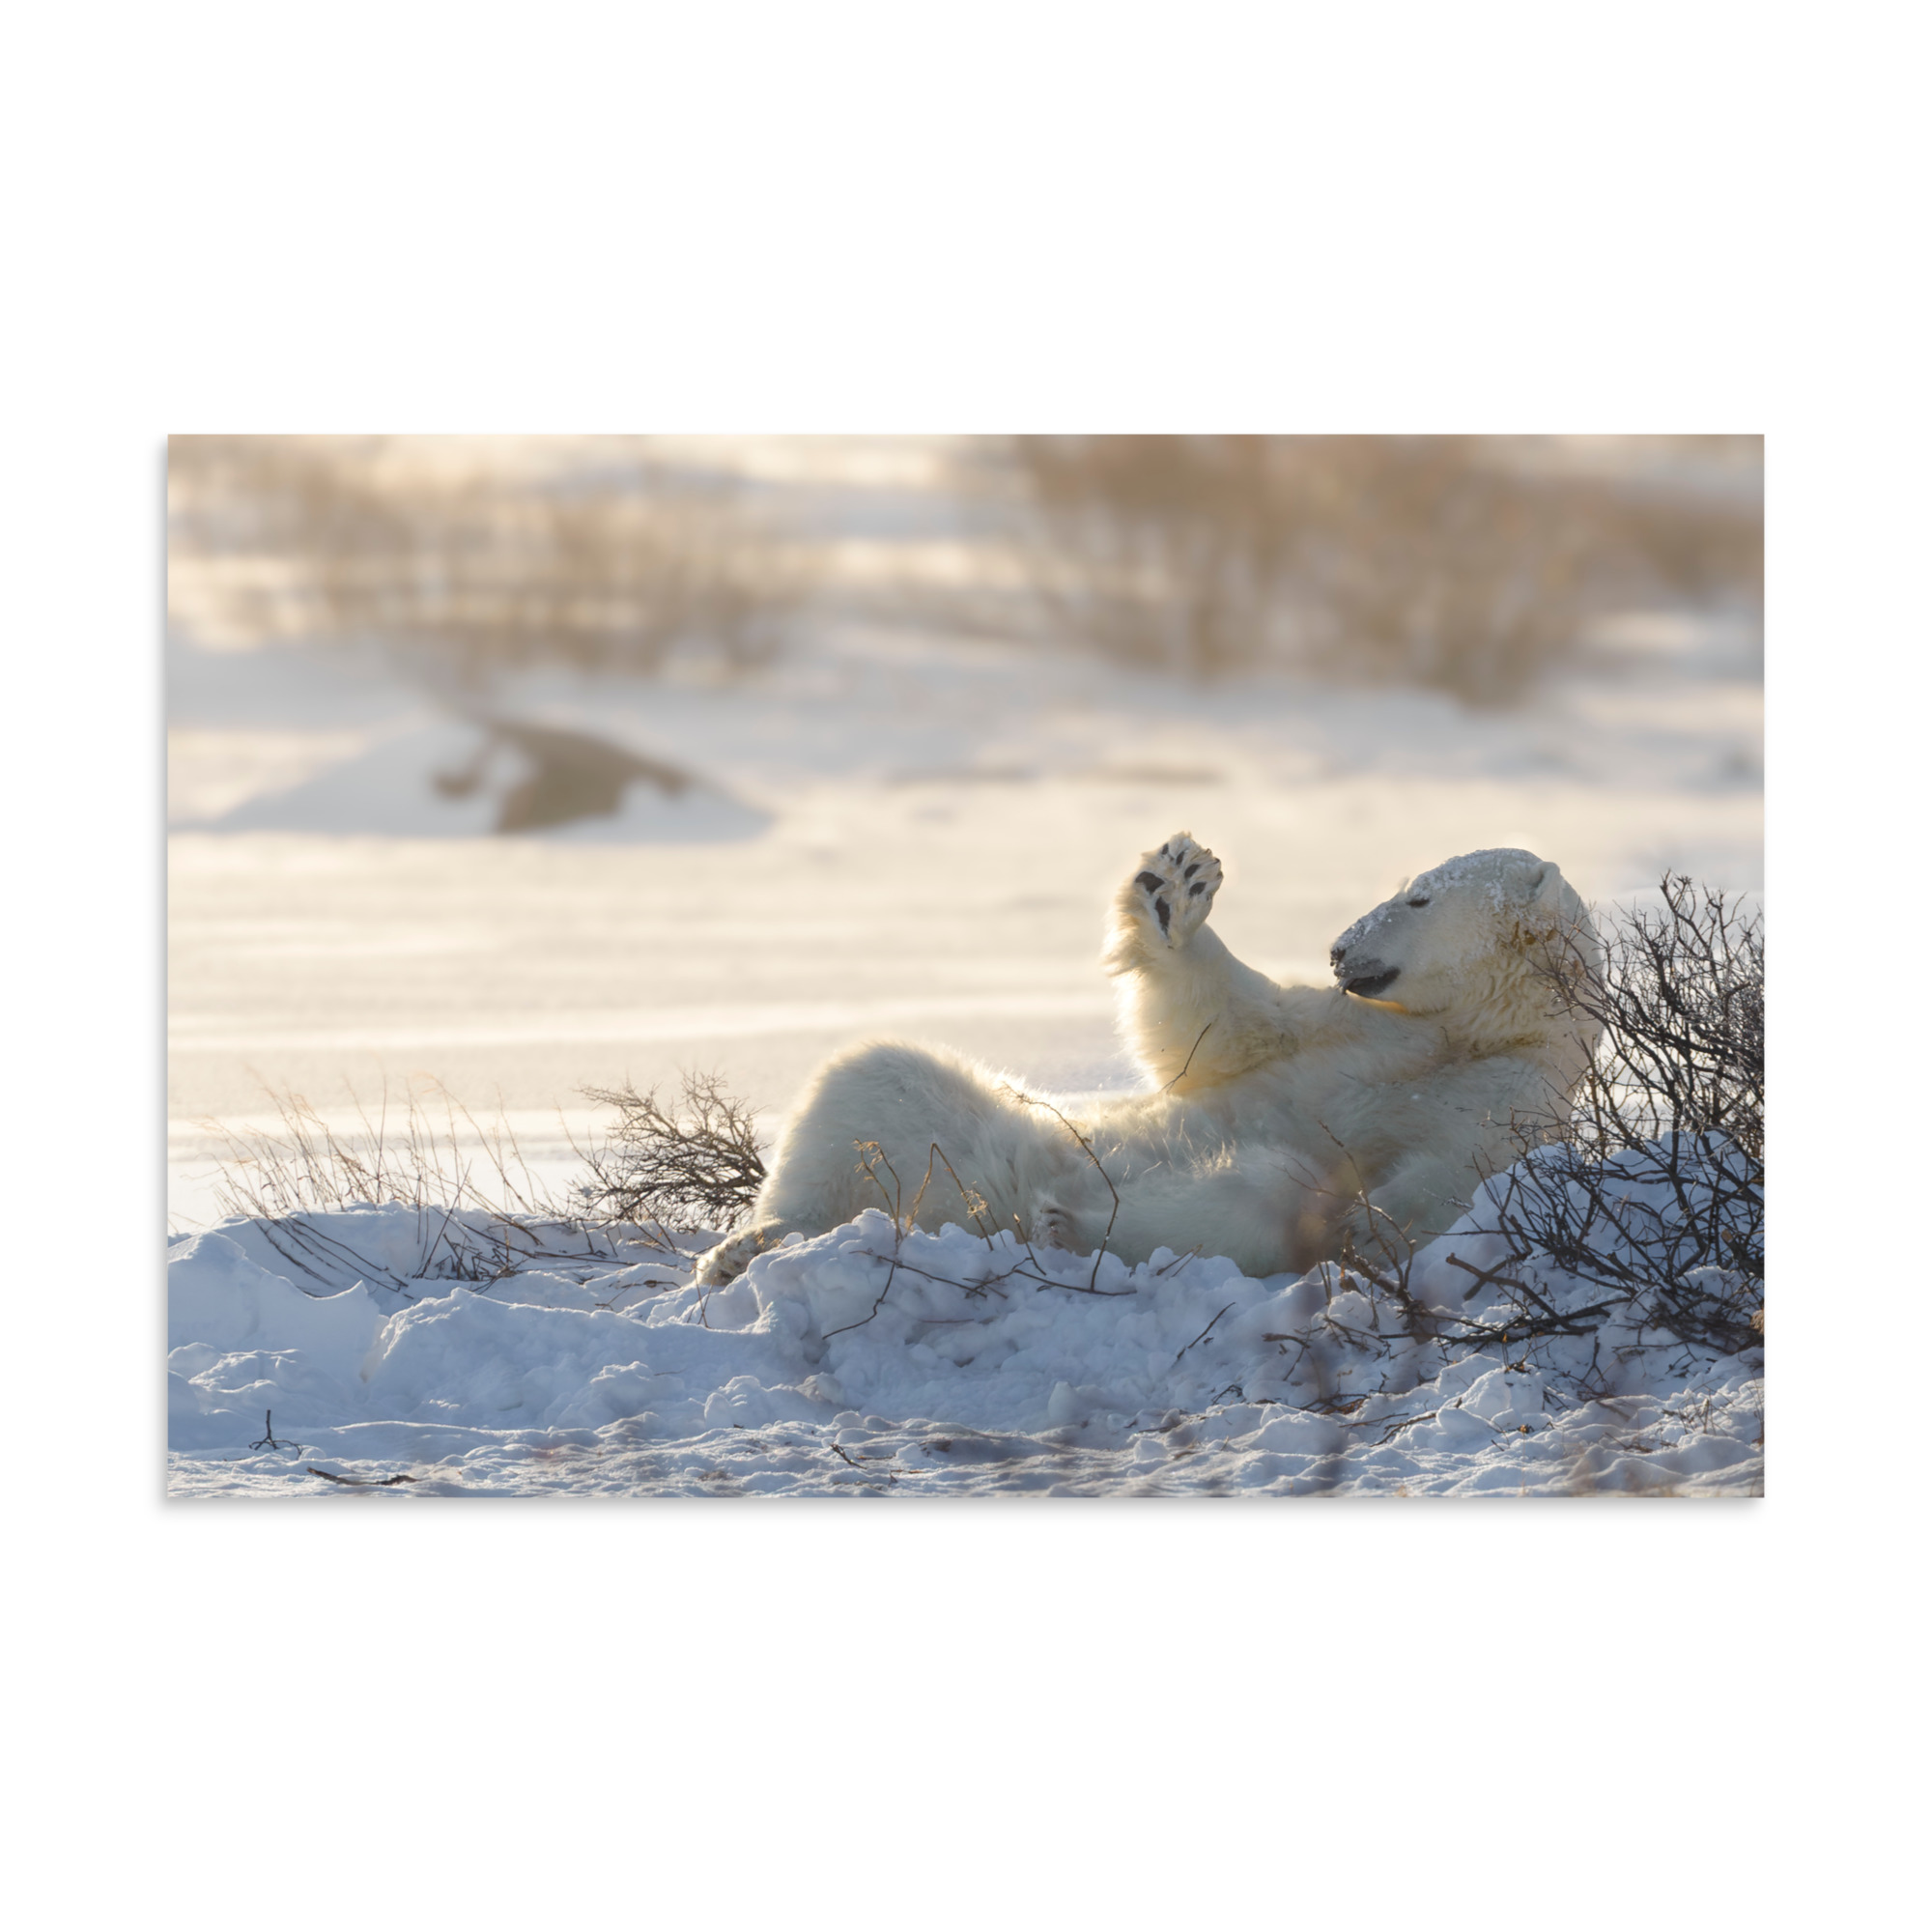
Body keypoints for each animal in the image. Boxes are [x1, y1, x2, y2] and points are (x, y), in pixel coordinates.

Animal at [694, 837, 1602, 1286]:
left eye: (1419, 898)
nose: (1341, 947)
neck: (1476, 1032)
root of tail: (974, 1213)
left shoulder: (1508, 1102)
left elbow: (1428, 1198)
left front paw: (1367, 1230)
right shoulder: (1354, 1031)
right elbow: (1225, 1028)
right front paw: (1177, 889)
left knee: (1263, 1191)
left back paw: (1065, 1225)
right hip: (966, 1129)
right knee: (866, 1084)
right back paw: (749, 1246)